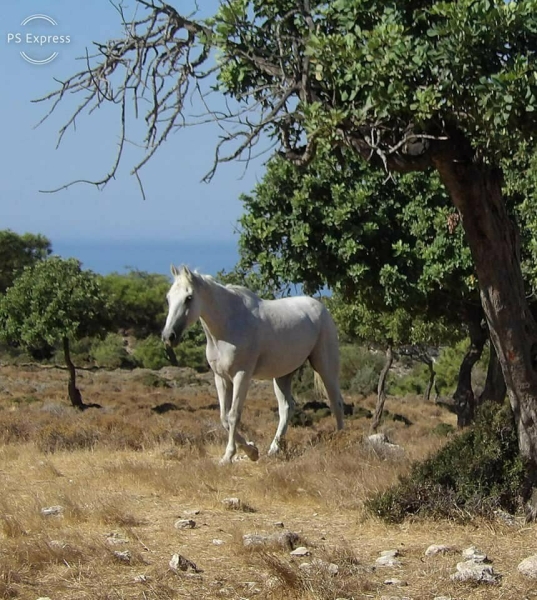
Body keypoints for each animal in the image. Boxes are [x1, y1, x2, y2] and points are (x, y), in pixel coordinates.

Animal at [161, 264, 344, 466]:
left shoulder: (242, 375)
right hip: (282, 375)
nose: (168, 336)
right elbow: (224, 417)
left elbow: (233, 415)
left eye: (189, 298)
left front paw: (231, 455)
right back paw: (274, 449)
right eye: (168, 298)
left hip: (325, 366)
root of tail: (321, 308)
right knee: (287, 408)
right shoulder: (221, 378)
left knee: (336, 402)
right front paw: (251, 450)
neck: (228, 325)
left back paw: (341, 440)